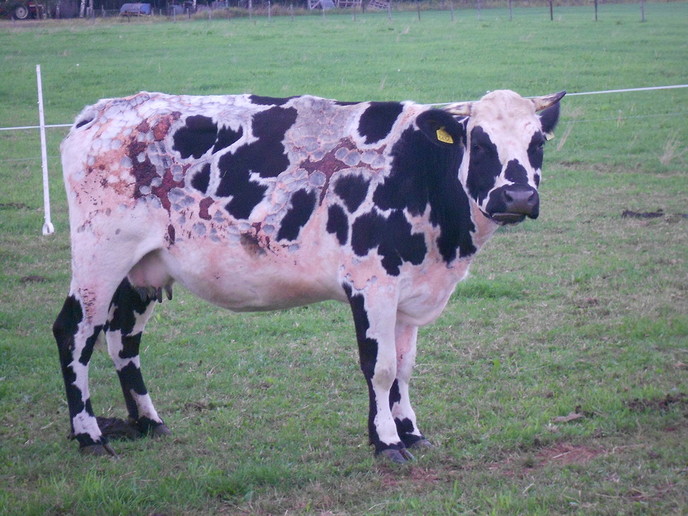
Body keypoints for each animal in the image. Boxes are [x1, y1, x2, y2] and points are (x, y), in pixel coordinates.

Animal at [53, 89, 564, 463]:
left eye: (537, 143)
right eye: (480, 143)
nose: (518, 196)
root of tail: (107, 109)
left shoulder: (410, 294)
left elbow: (404, 368)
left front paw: (411, 432)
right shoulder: (372, 283)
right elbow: (380, 368)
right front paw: (386, 442)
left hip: (142, 270)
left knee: (122, 340)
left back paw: (148, 422)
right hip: (100, 257)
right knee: (74, 333)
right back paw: (90, 435)